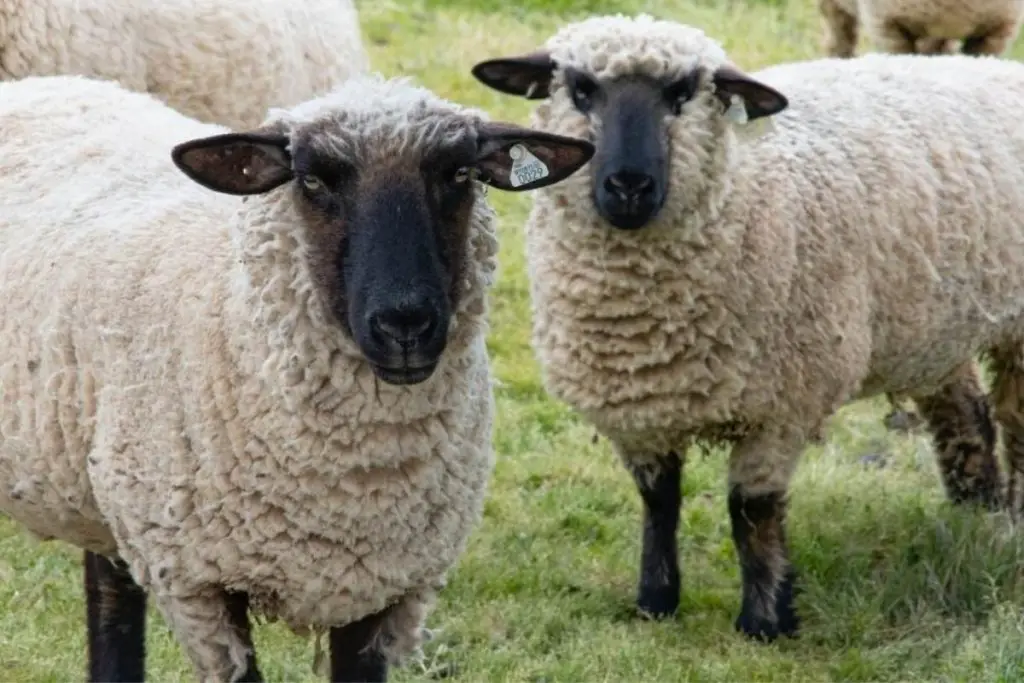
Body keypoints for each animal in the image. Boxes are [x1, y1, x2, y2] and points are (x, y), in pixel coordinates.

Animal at [0, 73, 593, 683]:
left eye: (458, 174)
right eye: (311, 180)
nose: (405, 324)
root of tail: (47, 83)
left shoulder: (382, 585)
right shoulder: (200, 586)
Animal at [471, 13, 1024, 643]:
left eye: (683, 93)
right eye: (582, 90)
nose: (629, 186)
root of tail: (995, 69)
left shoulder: (783, 403)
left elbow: (751, 512)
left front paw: (766, 618)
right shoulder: (637, 403)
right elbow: (658, 500)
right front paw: (656, 600)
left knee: (1015, 427)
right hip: (932, 327)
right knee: (968, 415)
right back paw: (978, 513)